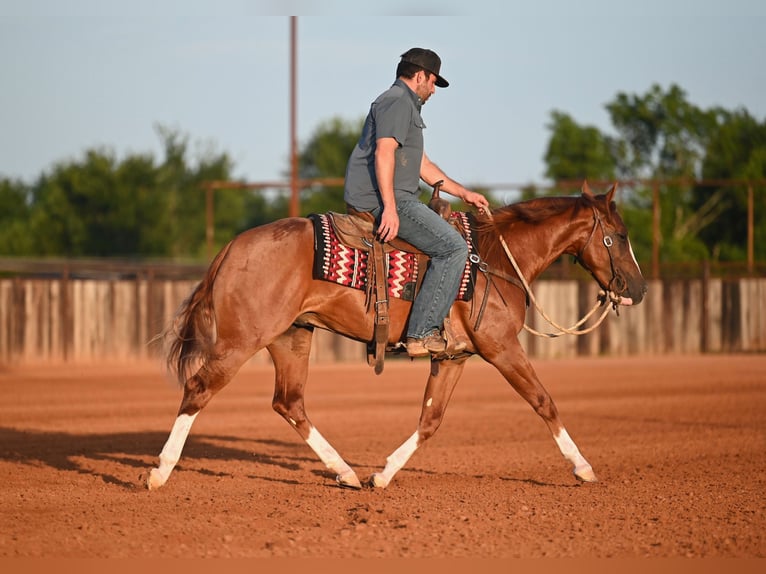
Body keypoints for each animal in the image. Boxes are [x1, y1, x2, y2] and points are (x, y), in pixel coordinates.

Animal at [146, 181, 647, 490]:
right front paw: (583, 468)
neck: (494, 259)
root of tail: (233, 246)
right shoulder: (501, 348)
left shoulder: (454, 357)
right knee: (199, 389)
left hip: (292, 337)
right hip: (241, 341)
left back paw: (346, 473)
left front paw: (383, 474)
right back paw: (159, 472)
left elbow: (431, 420)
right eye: (620, 236)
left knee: (289, 403)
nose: (638, 289)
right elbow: (544, 401)